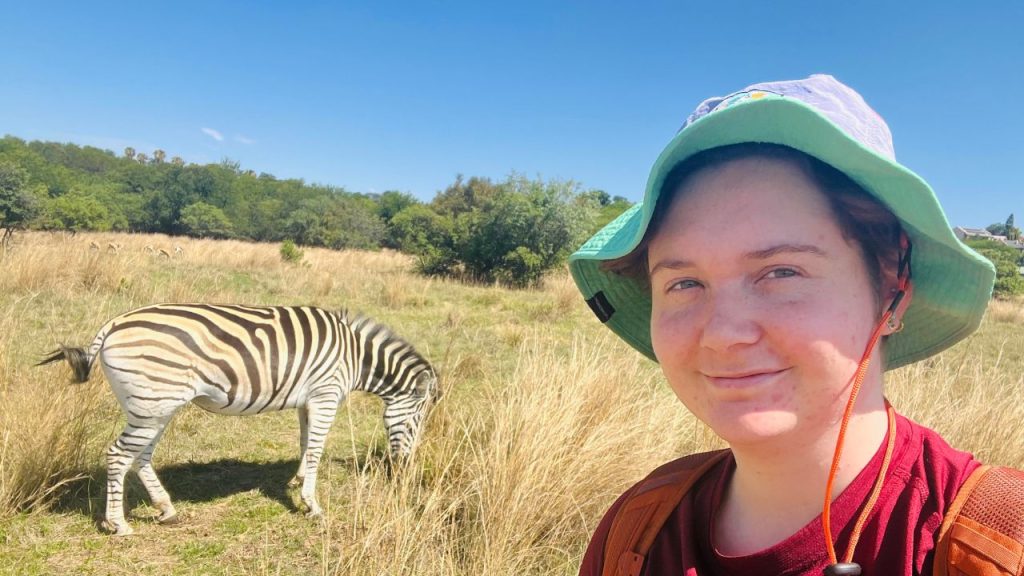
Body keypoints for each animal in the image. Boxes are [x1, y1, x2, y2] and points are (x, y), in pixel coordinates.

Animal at [37, 303, 440, 536]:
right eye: (417, 422)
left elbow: (304, 441)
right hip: (154, 402)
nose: (405, 467)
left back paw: (166, 509)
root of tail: (114, 324)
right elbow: (316, 449)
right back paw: (118, 524)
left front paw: (296, 481)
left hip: (152, 405)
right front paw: (312, 505)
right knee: (119, 455)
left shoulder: (308, 399)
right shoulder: (326, 395)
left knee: (141, 456)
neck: (356, 355)